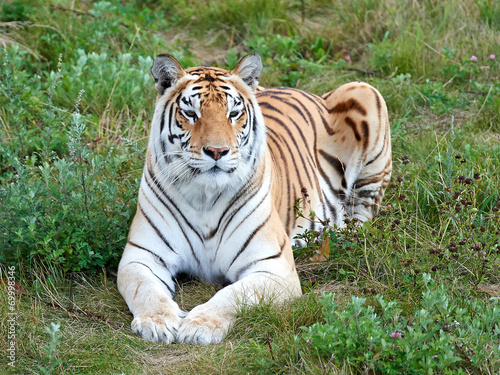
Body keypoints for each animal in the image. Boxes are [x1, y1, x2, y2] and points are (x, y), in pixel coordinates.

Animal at [117, 53, 390, 346]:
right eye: (190, 113)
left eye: (233, 114)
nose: (217, 151)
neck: (204, 197)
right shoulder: (141, 256)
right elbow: (145, 290)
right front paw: (156, 322)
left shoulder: (273, 267)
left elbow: (234, 294)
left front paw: (201, 325)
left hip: (366, 94)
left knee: (362, 216)